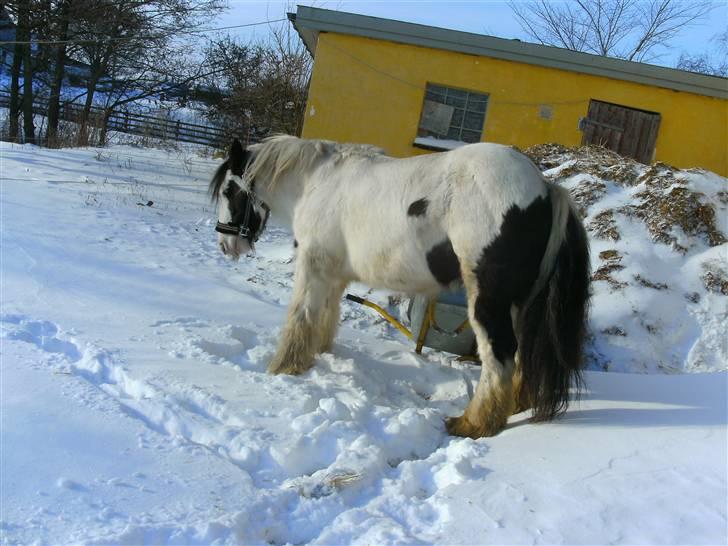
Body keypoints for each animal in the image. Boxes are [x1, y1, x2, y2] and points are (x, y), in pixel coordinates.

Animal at [210, 137, 592, 438]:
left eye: (229, 190)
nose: (226, 245)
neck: (316, 183)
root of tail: (546, 189)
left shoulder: (313, 268)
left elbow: (301, 316)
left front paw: (284, 369)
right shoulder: (333, 275)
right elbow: (326, 316)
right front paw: (318, 355)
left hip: (488, 301)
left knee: (499, 356)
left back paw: (473, 423)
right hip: (520, 304)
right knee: (524, 351)